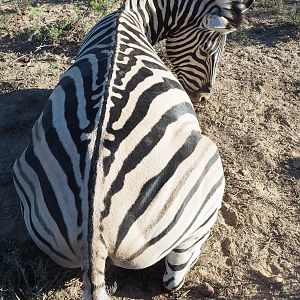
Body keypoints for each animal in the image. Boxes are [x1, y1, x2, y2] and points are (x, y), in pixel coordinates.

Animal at [13, 0, 253, 298]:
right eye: (209, 51)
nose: (203, 98)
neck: (129, 15)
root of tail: (94, 239)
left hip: (25, 172)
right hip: (209, 176)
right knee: (174, 276)